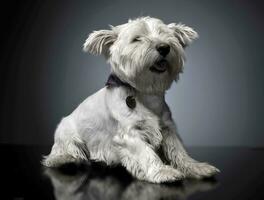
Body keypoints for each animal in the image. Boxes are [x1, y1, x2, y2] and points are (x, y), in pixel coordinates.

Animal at [43, 16, 220, 183]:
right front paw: (163, 171)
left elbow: (179, 151)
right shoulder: (130, 134)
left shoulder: (167, 129)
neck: (146, 94)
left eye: (165, 34)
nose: (164, 47)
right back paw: (67, 159)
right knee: (59, 154)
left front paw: (195, 167)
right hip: (67, 135)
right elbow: (146, 153)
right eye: (137, 39)